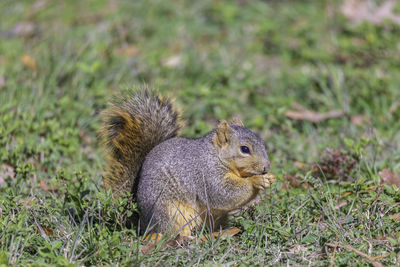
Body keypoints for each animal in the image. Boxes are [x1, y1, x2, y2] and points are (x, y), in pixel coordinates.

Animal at [99, 89, 276, 237]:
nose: (266, 167)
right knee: (171, 235)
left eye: (262, 142)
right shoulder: (206, 174)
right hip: (171, 213)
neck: (215, 155)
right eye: (244, 149)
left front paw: (270, 178)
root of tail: (143, 223)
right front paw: (257, 180)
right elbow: (224, 193)